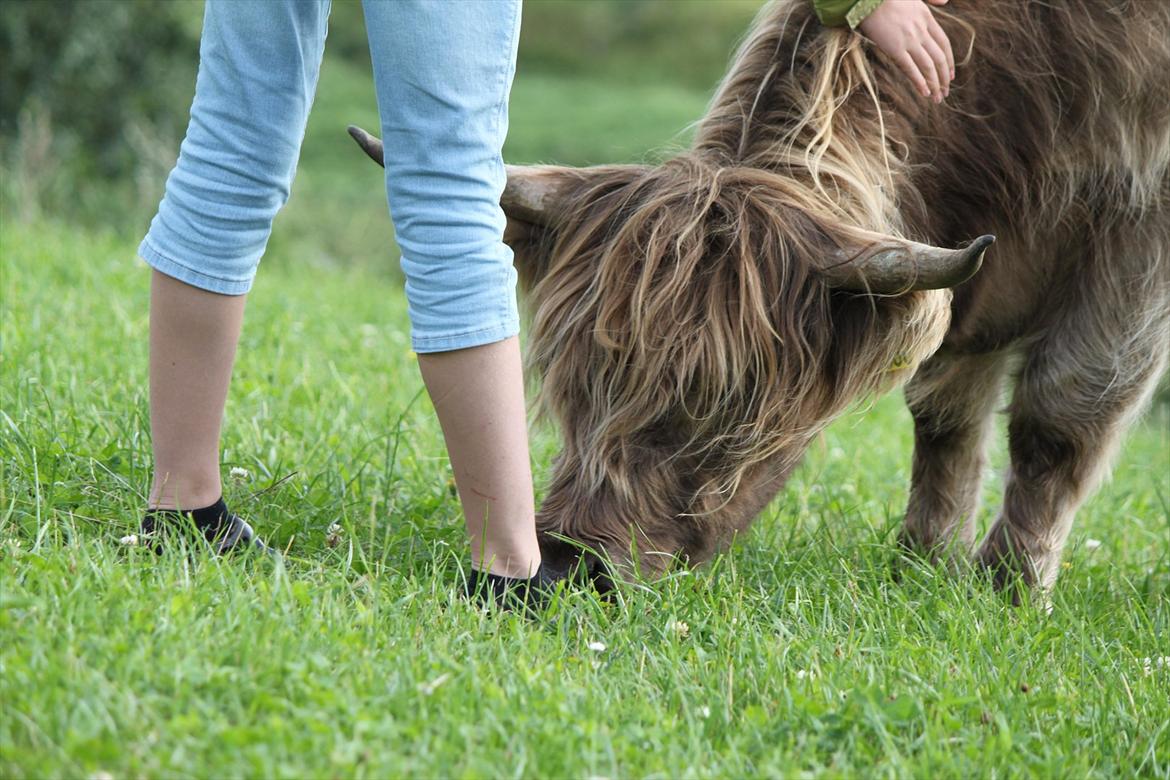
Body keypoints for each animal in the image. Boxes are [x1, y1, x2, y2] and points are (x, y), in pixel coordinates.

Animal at [350, 0, 1170, 597]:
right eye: (572, 382)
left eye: (727, 401)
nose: (570, 562)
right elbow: (946, 416)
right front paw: (923, 563)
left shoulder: (1138, 238)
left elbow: (1061, 414)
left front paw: (1008, 589)